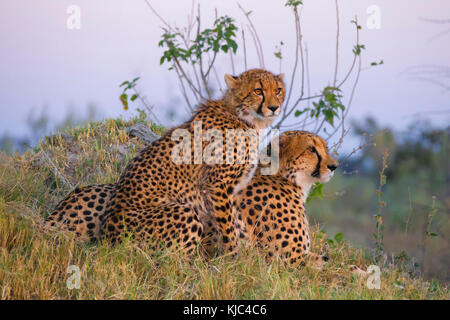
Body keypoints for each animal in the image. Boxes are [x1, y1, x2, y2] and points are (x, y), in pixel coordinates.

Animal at [45, 69, 284, 254]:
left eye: (278, 90)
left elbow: (237, 224)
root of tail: (107, 239)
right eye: (258, 91)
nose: (274, 107)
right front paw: (233, 258)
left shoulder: (231, 191)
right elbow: (227, 228)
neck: (243, 117)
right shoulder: (217, 187)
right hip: (183, 212)